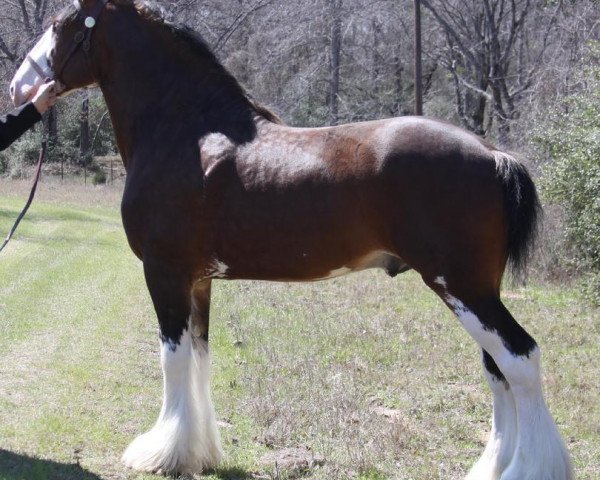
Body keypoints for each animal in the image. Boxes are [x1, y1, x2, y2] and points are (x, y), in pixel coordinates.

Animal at [8, 1, 572, 478]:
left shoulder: (164, 272)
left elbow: (172, 359)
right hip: (475, 290)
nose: (18, 88)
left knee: (520, 359)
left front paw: (162, 454)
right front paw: (198, 452)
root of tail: (492, 153)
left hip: (464, 288)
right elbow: (199, 357)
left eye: (60, 22)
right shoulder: (198, 281)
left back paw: (527, 470)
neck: (187, 133)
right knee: (498, 369)